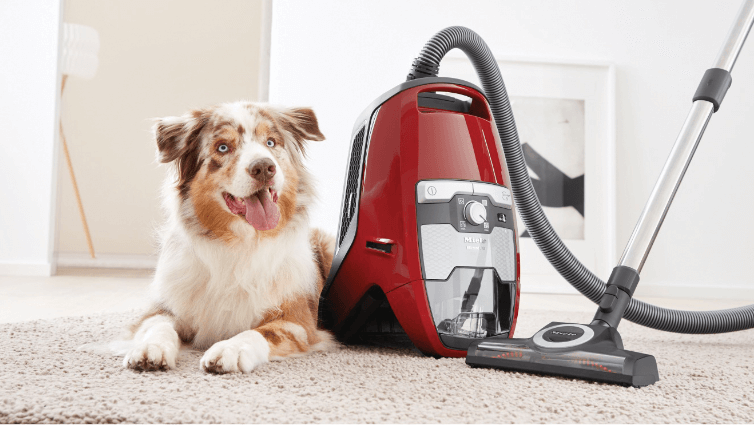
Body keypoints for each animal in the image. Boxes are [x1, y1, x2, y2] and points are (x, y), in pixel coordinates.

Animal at [119, 101, 334, 372]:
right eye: (223, 147)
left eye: (271, 142)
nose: (264, 167)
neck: (240, 242)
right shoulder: (163, 308)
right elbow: (158, 327)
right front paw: (151, 348)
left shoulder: (297, 322)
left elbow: (260, 332)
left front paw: (229, 349)